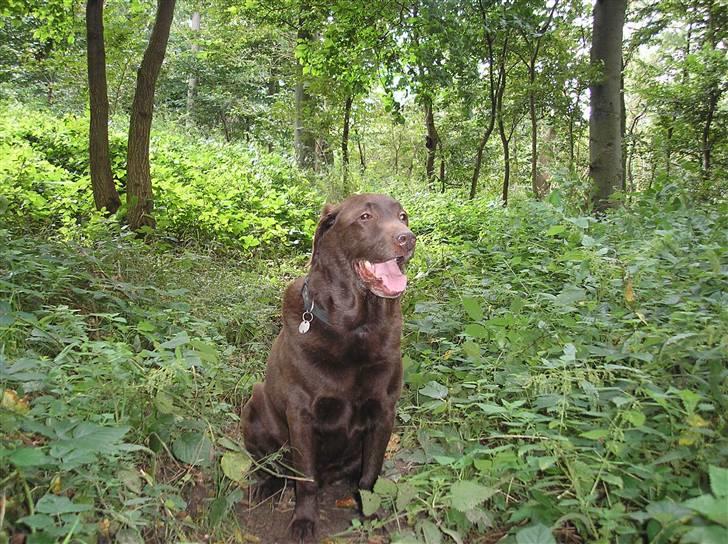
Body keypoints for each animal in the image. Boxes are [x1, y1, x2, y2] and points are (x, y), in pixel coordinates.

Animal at [242, 194, 416, 540]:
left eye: (403, 216)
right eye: (365, 217)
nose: (408, 238)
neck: (355, 328)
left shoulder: (384, 411)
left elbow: (371, 473)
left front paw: (369, 513)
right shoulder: (302, 415)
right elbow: (306, 481)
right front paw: (304, 521)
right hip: (253, 402)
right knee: (270, 465)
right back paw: (265, 485)